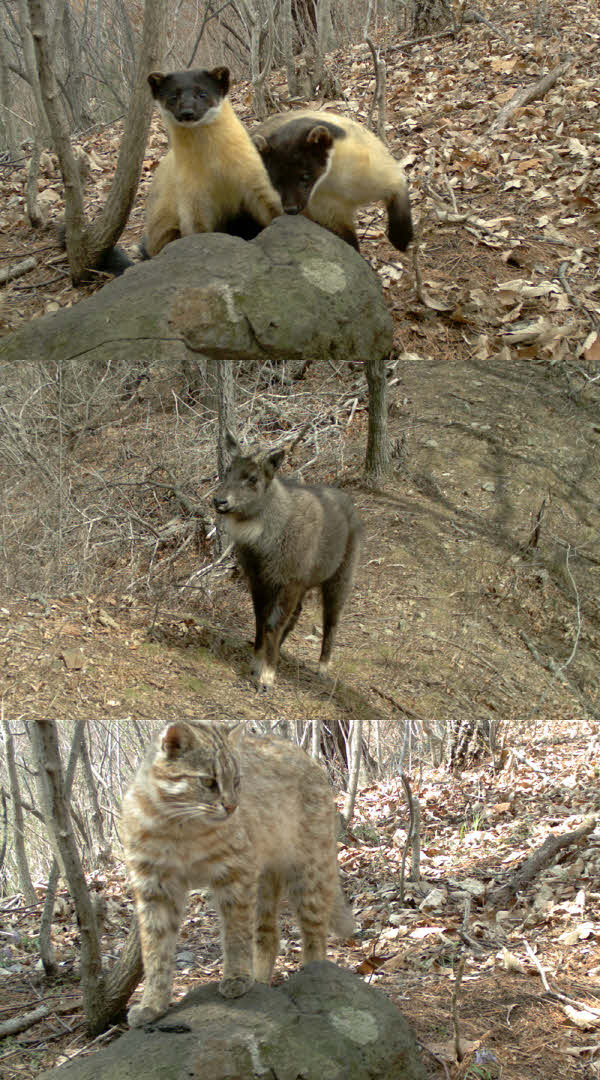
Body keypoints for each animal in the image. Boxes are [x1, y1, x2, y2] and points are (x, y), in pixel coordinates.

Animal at [123, 721, 353, 1023]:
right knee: (268, 935)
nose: (232, 806)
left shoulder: (234, 872)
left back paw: (314, 975)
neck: (180, 828)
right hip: (265, 881)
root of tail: (308, 759)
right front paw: (153, 1003)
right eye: (209, 781)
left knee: (315, 933)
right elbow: (155, 949)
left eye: (237, 781)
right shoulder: (155, 885)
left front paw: (236, 977)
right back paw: (261, 981)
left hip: (308, 872)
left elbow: (235, 932)